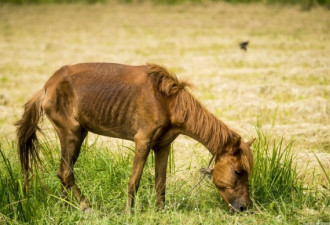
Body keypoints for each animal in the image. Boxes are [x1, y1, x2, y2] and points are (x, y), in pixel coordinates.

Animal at [14, 63, 255, 213]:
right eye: (237, 171)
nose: (245, 207)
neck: (167, 102)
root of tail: (47, 87)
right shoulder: (143, 142)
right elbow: (134, 181)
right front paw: (129, 213)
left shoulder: (163, 146)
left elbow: (160, 182)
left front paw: (160, 211)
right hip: (71, 134)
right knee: (65, 173)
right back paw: (86, 207)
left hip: (78, 135)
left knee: (64, 173)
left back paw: (68, 208)